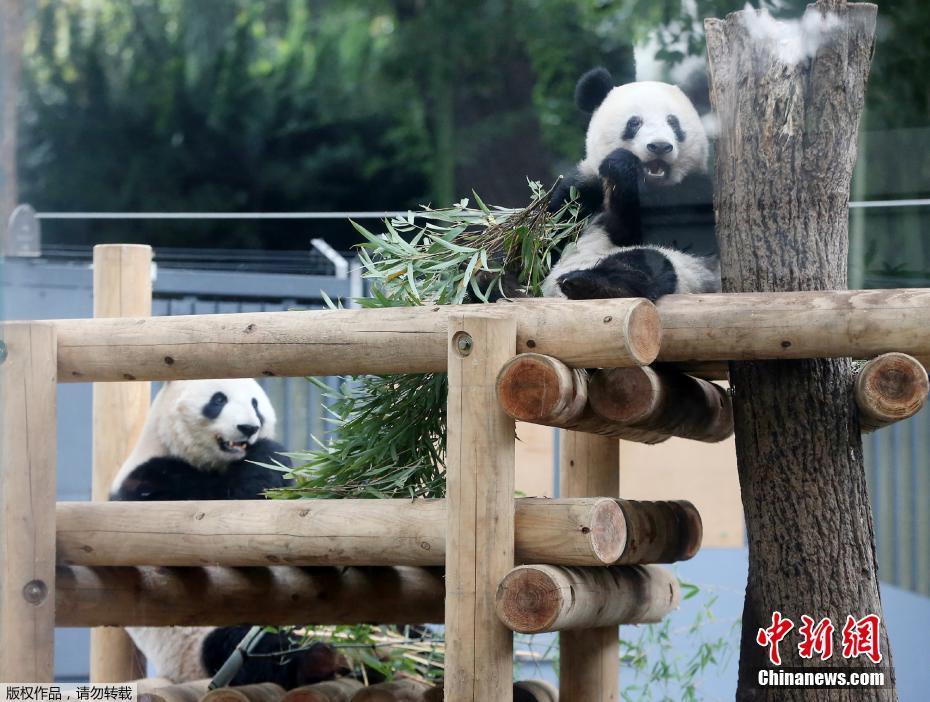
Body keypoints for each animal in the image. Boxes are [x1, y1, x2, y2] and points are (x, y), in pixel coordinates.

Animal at [110, 379, 342, 688]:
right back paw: (317, 659)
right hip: (200, 640)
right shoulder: (148, 484)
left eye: (255, 403)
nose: (249, 428)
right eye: (218, 400)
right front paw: (268, 452)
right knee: (249, 648)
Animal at [544, 67, 720, 301]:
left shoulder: (696, 192)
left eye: (673, 122)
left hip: (691, 272)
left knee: (646, 261)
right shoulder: (582, 190)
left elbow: (642, 231)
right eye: (634, 122)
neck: (652, 186)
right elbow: (554, 234)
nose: (660, 146)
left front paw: (622, 169)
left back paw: (593, 283)